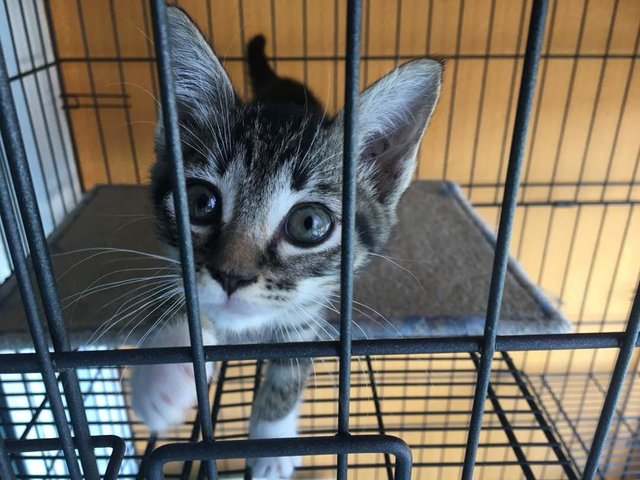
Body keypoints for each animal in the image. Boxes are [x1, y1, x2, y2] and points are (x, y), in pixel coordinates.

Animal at [129, 5, 440, 478]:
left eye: (309, 224)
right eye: (200, 202)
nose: (232, 277)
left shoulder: (312, 309)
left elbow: (290, 367)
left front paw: (271, 443)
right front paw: (163, 371)